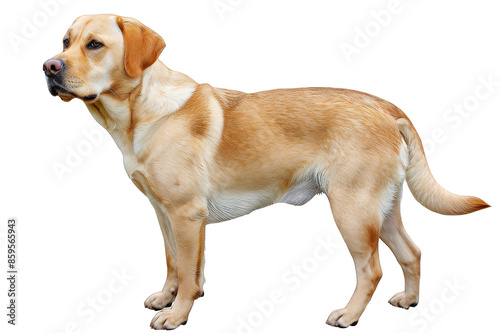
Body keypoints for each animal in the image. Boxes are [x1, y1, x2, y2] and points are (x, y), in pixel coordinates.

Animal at [43, 14, 488, 328]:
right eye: (66, 41)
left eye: (95, 44)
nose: (49, 66)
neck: (141, 114)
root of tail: (387, 107)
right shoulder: (166, 214)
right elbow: (177, 265)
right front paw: (170, 298)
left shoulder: (186, 215)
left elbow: (186, 270)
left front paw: (177, 314)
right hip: (383, 208)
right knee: (411, 253)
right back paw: (409, 300)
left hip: (352, 211)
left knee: (371, 269)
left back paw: (348, 315)